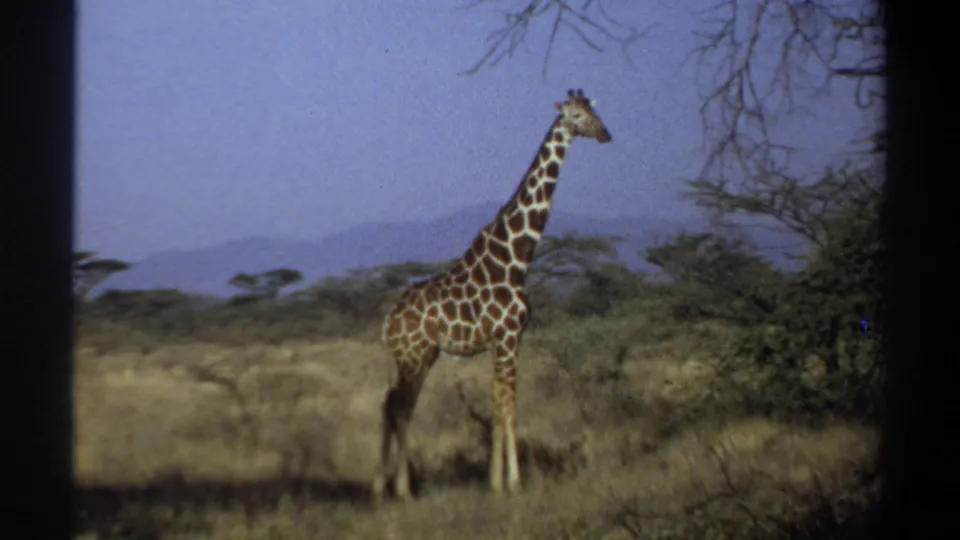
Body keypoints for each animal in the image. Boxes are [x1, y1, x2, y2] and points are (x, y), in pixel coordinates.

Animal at [372, 89, 613, 500]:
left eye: (594, 112)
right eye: (577, 116)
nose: (606, 135)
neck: (516, 258)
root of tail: (389, 322)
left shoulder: (501, 343)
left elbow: (497, 404)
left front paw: (495, 481)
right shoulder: (508, 337)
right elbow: (510, 405)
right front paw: (514, 482)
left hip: (414, 357)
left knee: (392, 404)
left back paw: (382, 486)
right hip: (414, 357)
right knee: (400, 408)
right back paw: (402, 489)